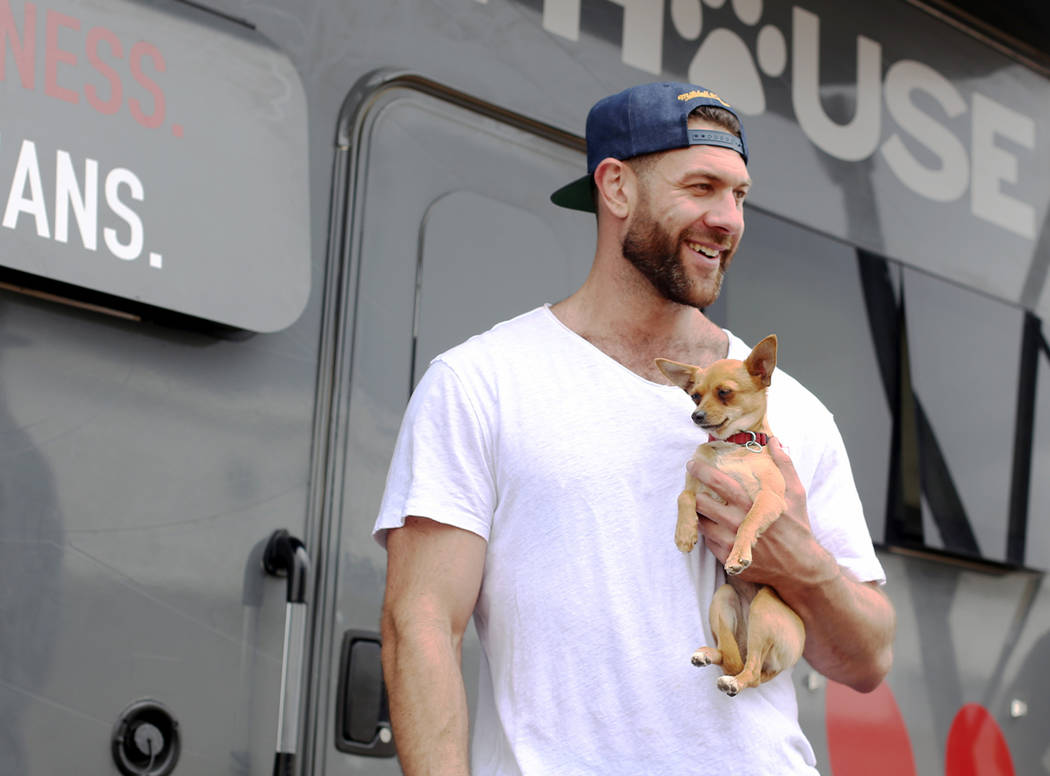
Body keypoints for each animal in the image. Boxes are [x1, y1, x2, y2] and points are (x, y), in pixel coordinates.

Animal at [655, 336, 802, 697]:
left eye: (725, 392)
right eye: (694, 395)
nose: (696, 415)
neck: (733, 447)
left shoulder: (770, 498)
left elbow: (749, 519)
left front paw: (738, 555)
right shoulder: (698, 484)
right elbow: (684, 495)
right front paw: (685, 532)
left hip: (765, 610)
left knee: (750, 672)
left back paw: (735, 681)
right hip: (722, 600)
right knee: (733, 657)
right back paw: (709, 654)